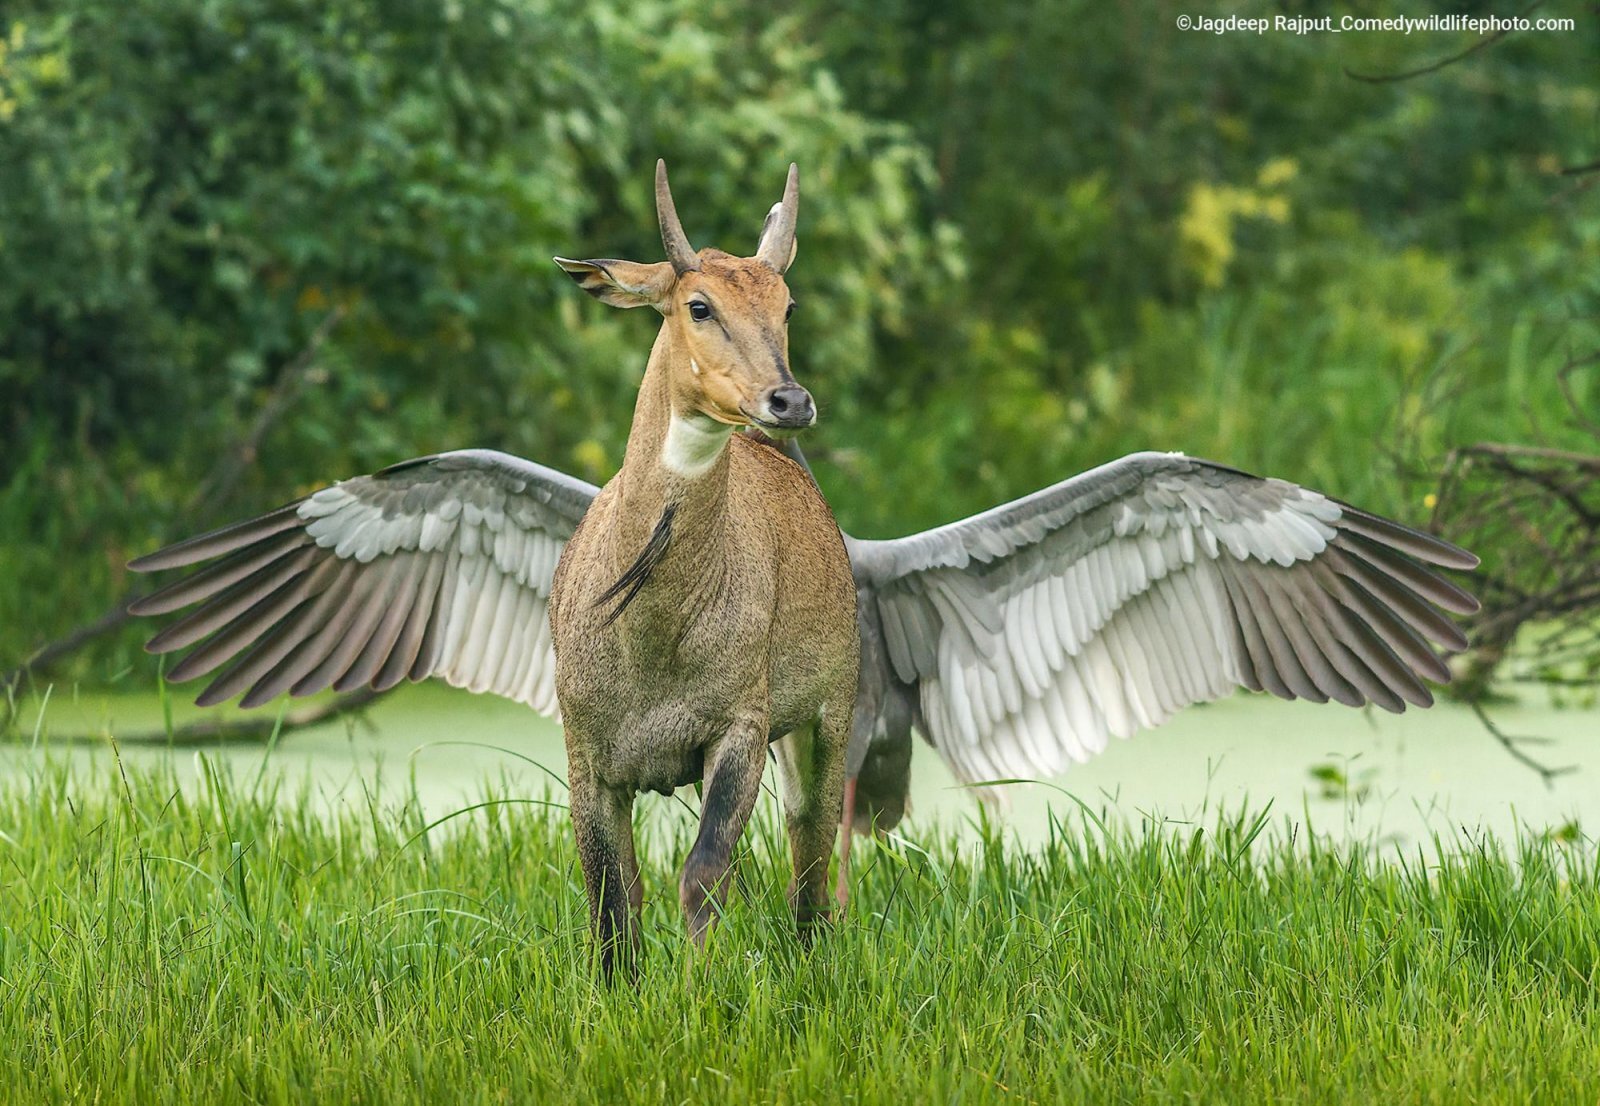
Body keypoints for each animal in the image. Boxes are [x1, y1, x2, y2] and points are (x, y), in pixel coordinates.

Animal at [132, 160, 864, 973]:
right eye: (697, 305)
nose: (789, 400)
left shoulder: (737, 727)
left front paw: (701, 989)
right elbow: (611, 898)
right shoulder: (587, 754)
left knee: (810, 859)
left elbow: (703, 873)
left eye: (787, 304)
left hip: (826, 718)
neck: (652, 624)